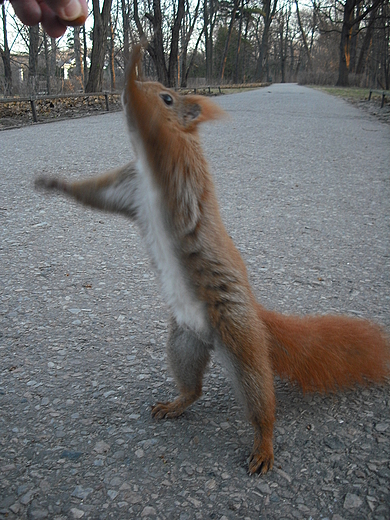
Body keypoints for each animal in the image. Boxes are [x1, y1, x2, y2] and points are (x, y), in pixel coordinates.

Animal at [35, 43, 388, 476]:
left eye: (168, 98)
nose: (146, 87)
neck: (147, 169)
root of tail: (255, 316)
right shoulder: (129, 189)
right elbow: (94, 193)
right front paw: (54, 183)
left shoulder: (174, 165)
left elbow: (152, 130)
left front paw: (131, 62)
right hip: (183, 344)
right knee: (195, 387)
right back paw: (175, 404)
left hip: (242, 344)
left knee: (261, 402)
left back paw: (264, 447)